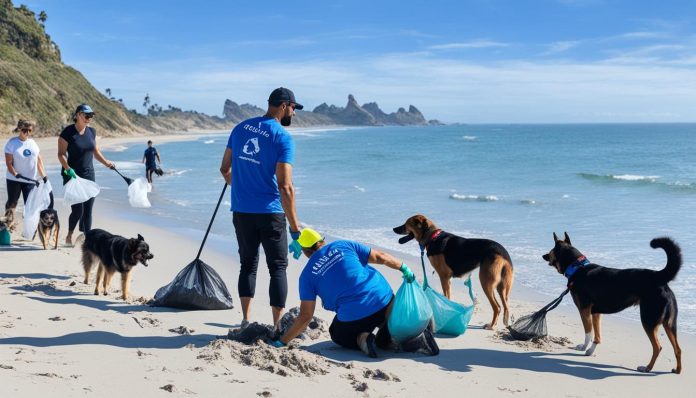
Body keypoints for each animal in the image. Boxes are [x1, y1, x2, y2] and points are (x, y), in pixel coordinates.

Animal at [540, 233, 684, 374]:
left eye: (551, 251)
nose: (543, 256)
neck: (577, 267)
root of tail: (659, 278)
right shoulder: (596, 313)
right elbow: (597, 336)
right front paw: (590, 351)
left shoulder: (584, 310)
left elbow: (588, 332)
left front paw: (584, 347)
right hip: (669, 324)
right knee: (678, 348)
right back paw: (677, 370)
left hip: (648, 320)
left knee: (657, 347)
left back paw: (647, 368)